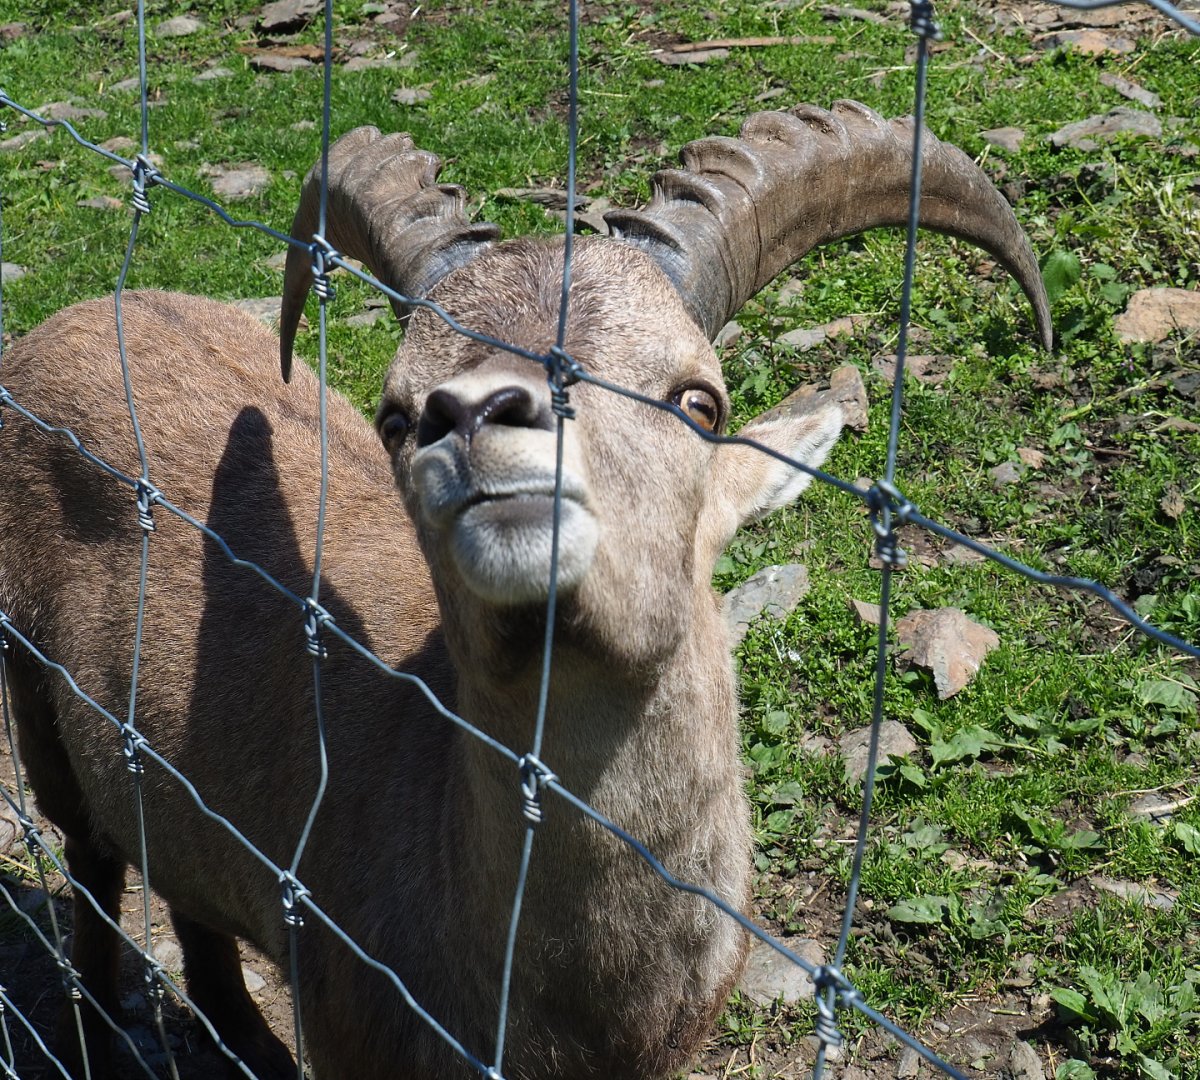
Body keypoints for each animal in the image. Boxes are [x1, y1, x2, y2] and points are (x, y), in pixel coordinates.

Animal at [0, 100, 1051, 1080]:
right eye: (394, 416)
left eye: (699, 401)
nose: (475, 415)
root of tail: (71, 320)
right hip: (36, 701)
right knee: (91, 869)